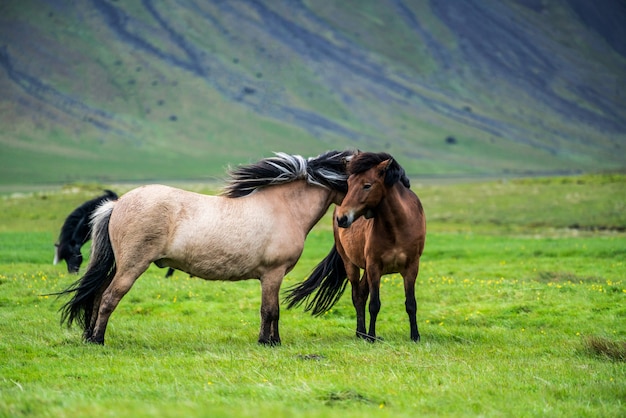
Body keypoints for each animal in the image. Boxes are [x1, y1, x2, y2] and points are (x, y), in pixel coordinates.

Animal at [55, 150, 354, 346]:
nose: (346, 219)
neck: (284, 208)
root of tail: (116, 205)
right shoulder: (273, 274)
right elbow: (271, 310)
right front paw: (270, 343)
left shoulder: (272, 277)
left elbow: (269, 310)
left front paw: (268, 340)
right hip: (131, 266)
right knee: (108, 298)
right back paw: (98, 340)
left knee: (97, 296)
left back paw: (89, 336)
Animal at [284, 152, 424, 342]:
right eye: (349, 184)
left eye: (367, 185)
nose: (342, 218)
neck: (398, 227)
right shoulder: (374, 267)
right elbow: (374, 304)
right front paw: (371, 336)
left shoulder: (411, 267)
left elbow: (411, 303)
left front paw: (415, 336)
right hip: (351, 264)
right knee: (357, 296)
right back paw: (361, 333)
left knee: (362, 294)